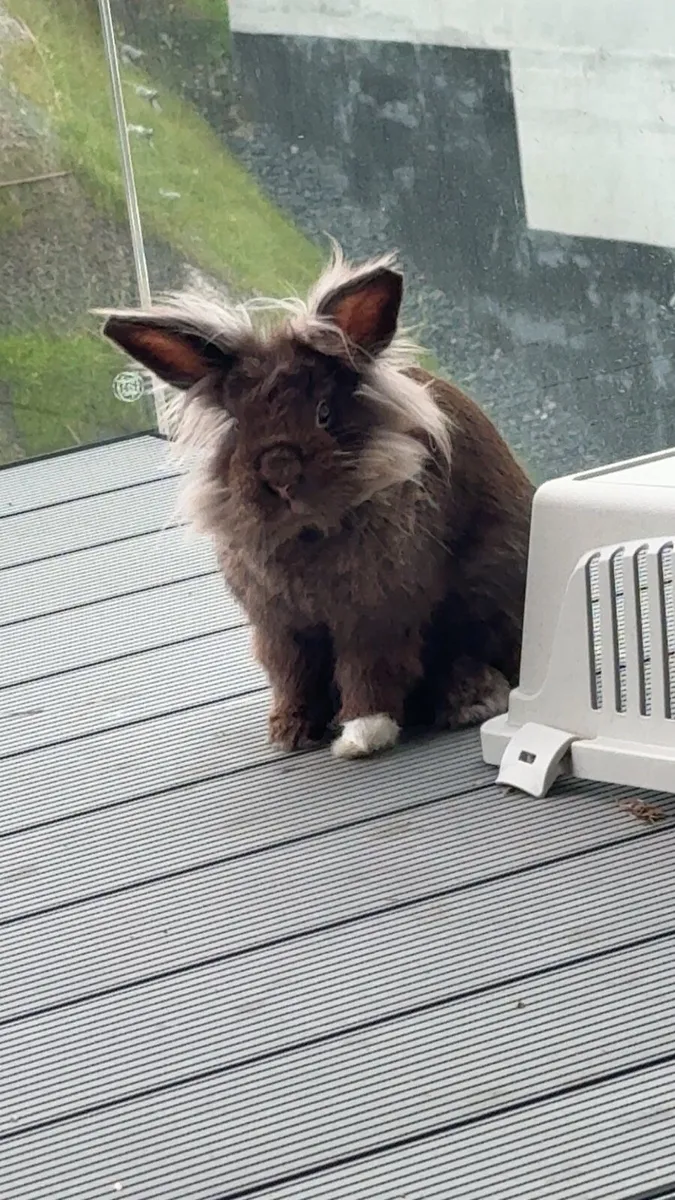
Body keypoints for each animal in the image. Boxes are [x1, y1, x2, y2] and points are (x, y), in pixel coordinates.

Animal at [100, 246, 534, 760]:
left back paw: (470, 700)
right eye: (239, 426)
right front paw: (290, 731)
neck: (306, 532)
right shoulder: (283, 630)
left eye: (324, 414)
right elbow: (294, 678)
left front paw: (362, 736)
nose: (280, 471)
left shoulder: (377, 617)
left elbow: (370, 673)